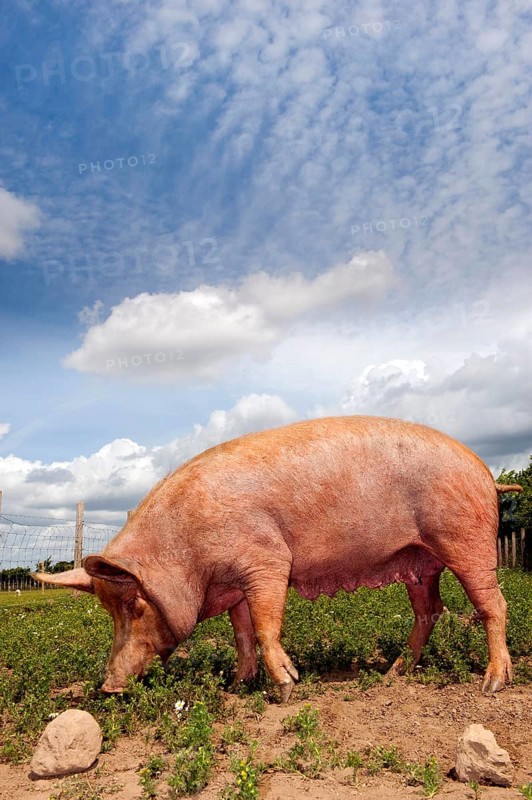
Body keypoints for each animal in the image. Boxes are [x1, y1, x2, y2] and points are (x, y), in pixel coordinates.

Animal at [33, 416, 522, 701]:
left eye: (135, 605)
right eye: (107, 610)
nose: (108, 686)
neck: (189, 553)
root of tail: (487, 473)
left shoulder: (266, 561)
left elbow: (268, 625)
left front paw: (288, 686)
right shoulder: (234, 585)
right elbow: (242, 634)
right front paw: (238, 685)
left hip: (466, 541)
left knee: (493, 605)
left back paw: (493, 684)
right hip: (419, 562)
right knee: (429, 610)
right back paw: (393, 674)